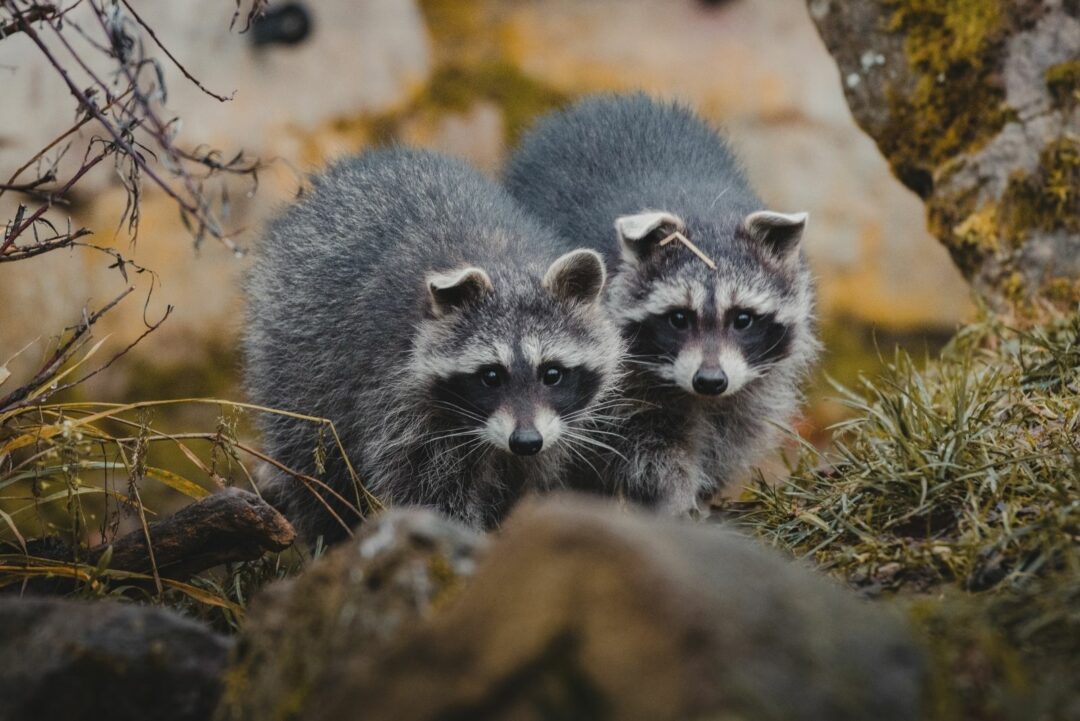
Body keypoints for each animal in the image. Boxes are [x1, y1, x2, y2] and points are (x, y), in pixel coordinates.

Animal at [244, 148, 623, 543]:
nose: (525, 441)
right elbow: (428, 491)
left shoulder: (552, 430)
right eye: (491, 376)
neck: (505, 265)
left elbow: (523, 480)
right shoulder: (396, 397)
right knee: (313, 462)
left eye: (552, 373)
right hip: (296, 354)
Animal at [504, 94, 820, 514]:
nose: (710, 380)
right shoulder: (618, 378)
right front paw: (673, 494)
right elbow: (644, 445)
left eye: (743, 319)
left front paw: (705, 488)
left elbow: (734, 430)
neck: (704, 211)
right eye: (679, 318)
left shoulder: (754, 378)